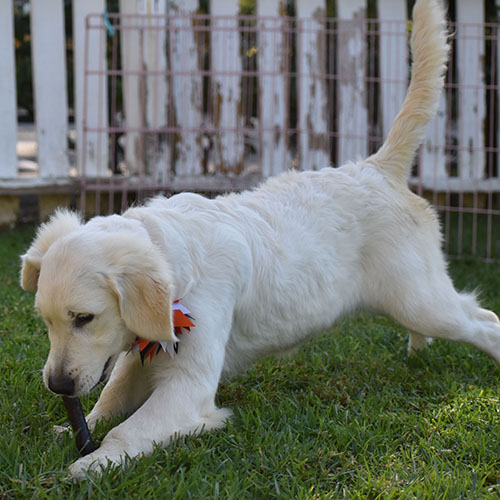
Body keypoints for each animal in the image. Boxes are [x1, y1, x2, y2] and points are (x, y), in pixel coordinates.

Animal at [20, 0, 500, 477]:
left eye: (85, 318)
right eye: (46, 321)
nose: (57, 385)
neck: (176, 257)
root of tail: (376, 167)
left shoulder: (188, 383)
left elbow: (129, 429)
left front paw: (92, 464)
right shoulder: (142, 352)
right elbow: (110, 397)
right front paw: (73, 430)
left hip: (421, 300)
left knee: (484, 319)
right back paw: (418, 350)